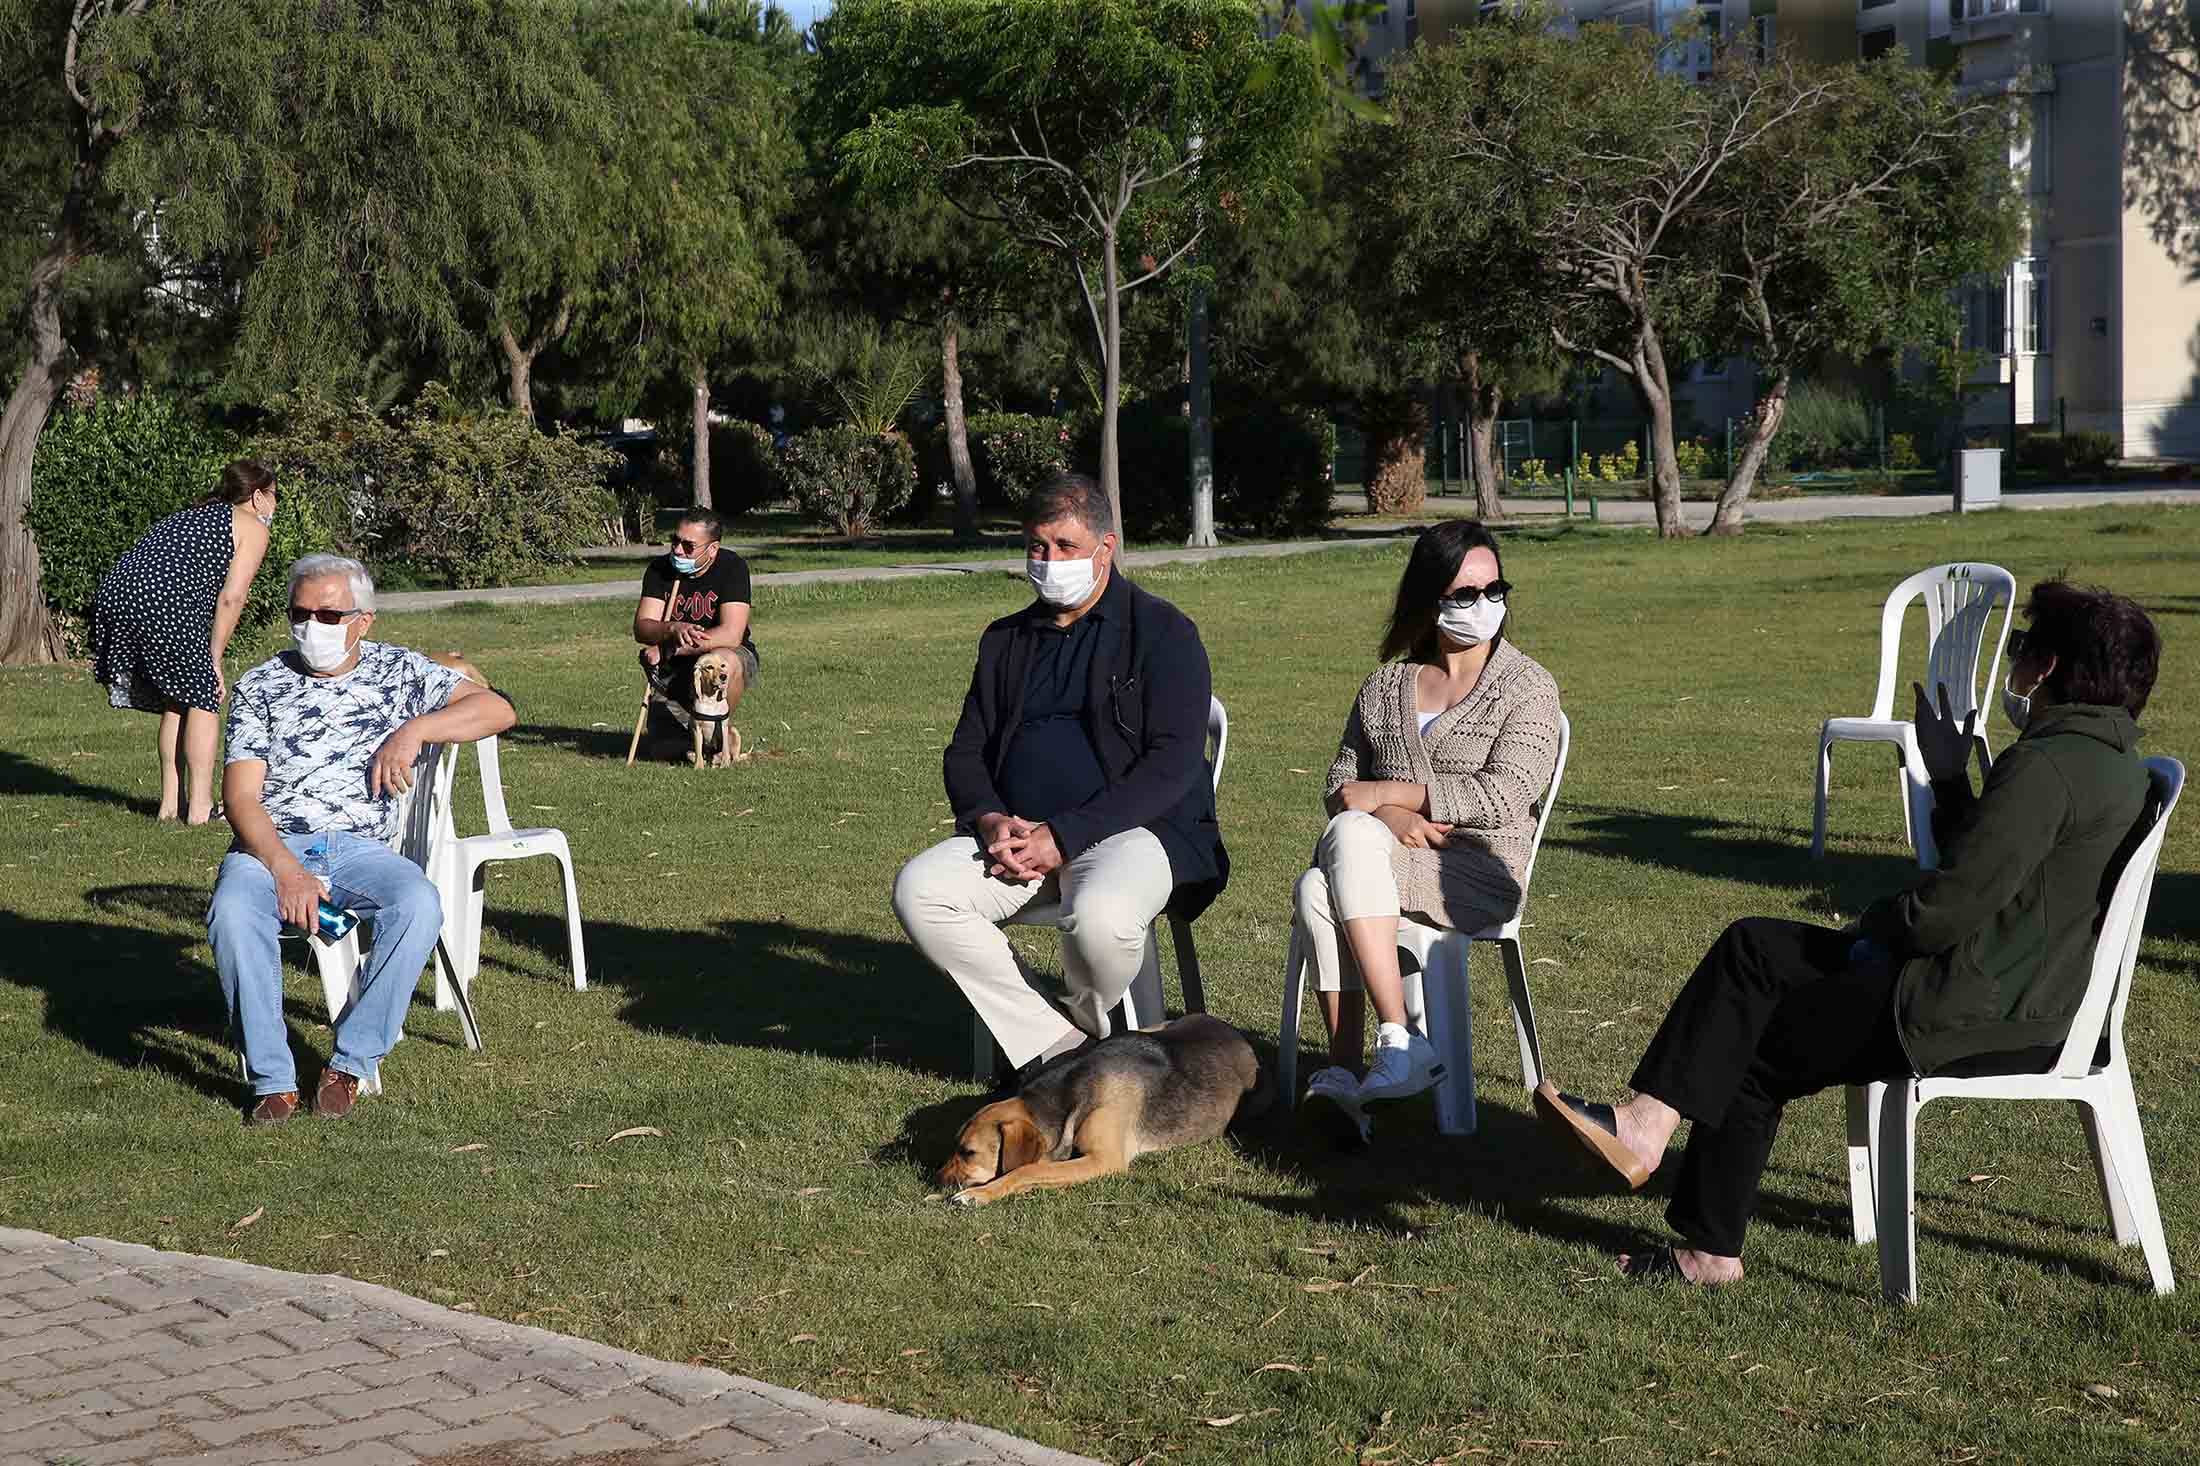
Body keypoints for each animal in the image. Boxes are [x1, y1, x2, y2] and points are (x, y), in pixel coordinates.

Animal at [937, 1012, 1267, 1206]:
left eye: (968, 1153)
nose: (937, 1178)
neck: (1068, 1091)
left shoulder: (1104, 1160)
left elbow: (1027, 1169)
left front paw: (979, 1194)